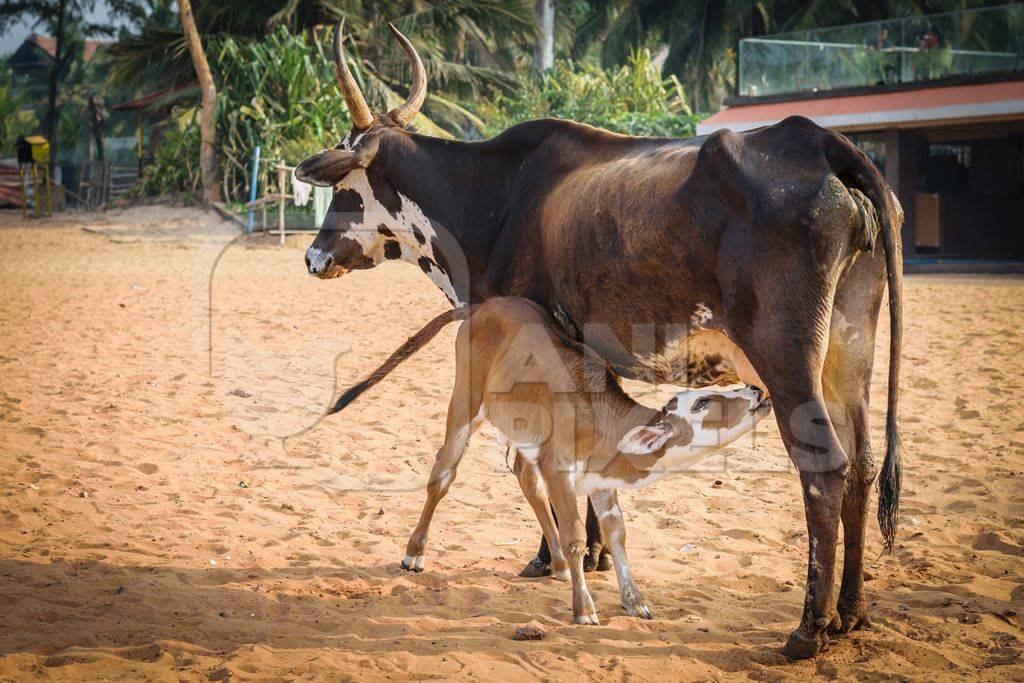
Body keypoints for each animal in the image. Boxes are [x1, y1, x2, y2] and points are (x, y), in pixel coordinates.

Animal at [327, 296, 770, 626]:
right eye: (703, 402)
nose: (754, 391)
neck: (598, 416)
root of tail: (482, 305)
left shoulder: (600, 483)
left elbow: (617, 534)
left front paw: (635, 601)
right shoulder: (560, 469)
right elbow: (575, 536)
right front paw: (584, 609)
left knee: (525, 478)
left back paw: (556, 564)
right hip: (465, 402)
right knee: (443, 472)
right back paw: (415, 553)